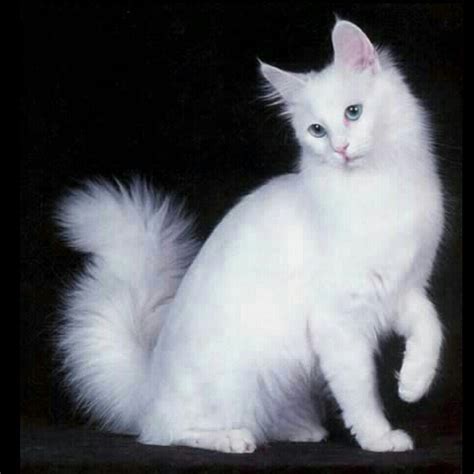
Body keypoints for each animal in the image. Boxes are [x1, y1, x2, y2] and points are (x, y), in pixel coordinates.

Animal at [55, 20, 444, 454]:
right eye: (317, 130)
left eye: (353, 112)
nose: (340, 149)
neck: (375, 188)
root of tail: (148, 384)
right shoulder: (341, 320)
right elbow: (361, 393)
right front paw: (380, 438)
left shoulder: (405, 289)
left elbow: (432, 328)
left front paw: (413, 383)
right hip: (234, 382)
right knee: (166, 432)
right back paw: (232, 438)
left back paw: (301, 430)